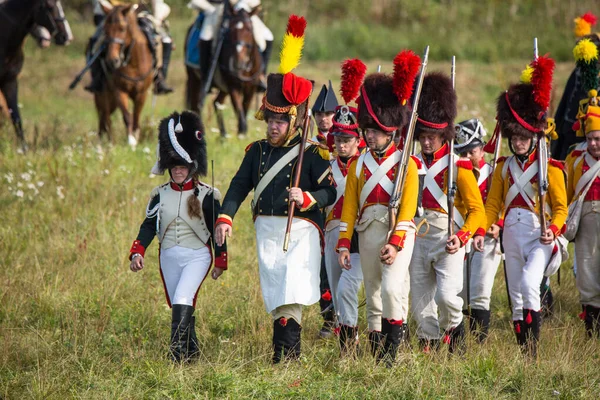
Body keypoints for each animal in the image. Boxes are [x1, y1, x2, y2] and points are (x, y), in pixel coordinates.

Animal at [94, 2, 155, 147]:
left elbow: (136, 117)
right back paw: (105, 144)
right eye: (105, 29)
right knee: (104, 118)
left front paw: (135, 137)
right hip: (103, 96)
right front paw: (131, 141)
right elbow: (127, 116)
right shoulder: (120, 91)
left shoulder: (141, 93)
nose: (112, 61)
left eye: (122, 28)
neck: (133, 64)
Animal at [184, 4, 262, 139]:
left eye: (249, 29)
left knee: (217, 102)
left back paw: (223, 136)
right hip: (194, 79)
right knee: (196, 105)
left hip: (223, 88)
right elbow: (240, 113)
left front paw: (241, 135)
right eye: (231, 31)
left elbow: (244, 110)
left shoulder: (250, 88)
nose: (237, 63)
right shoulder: (233, 87)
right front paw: (241, 134)